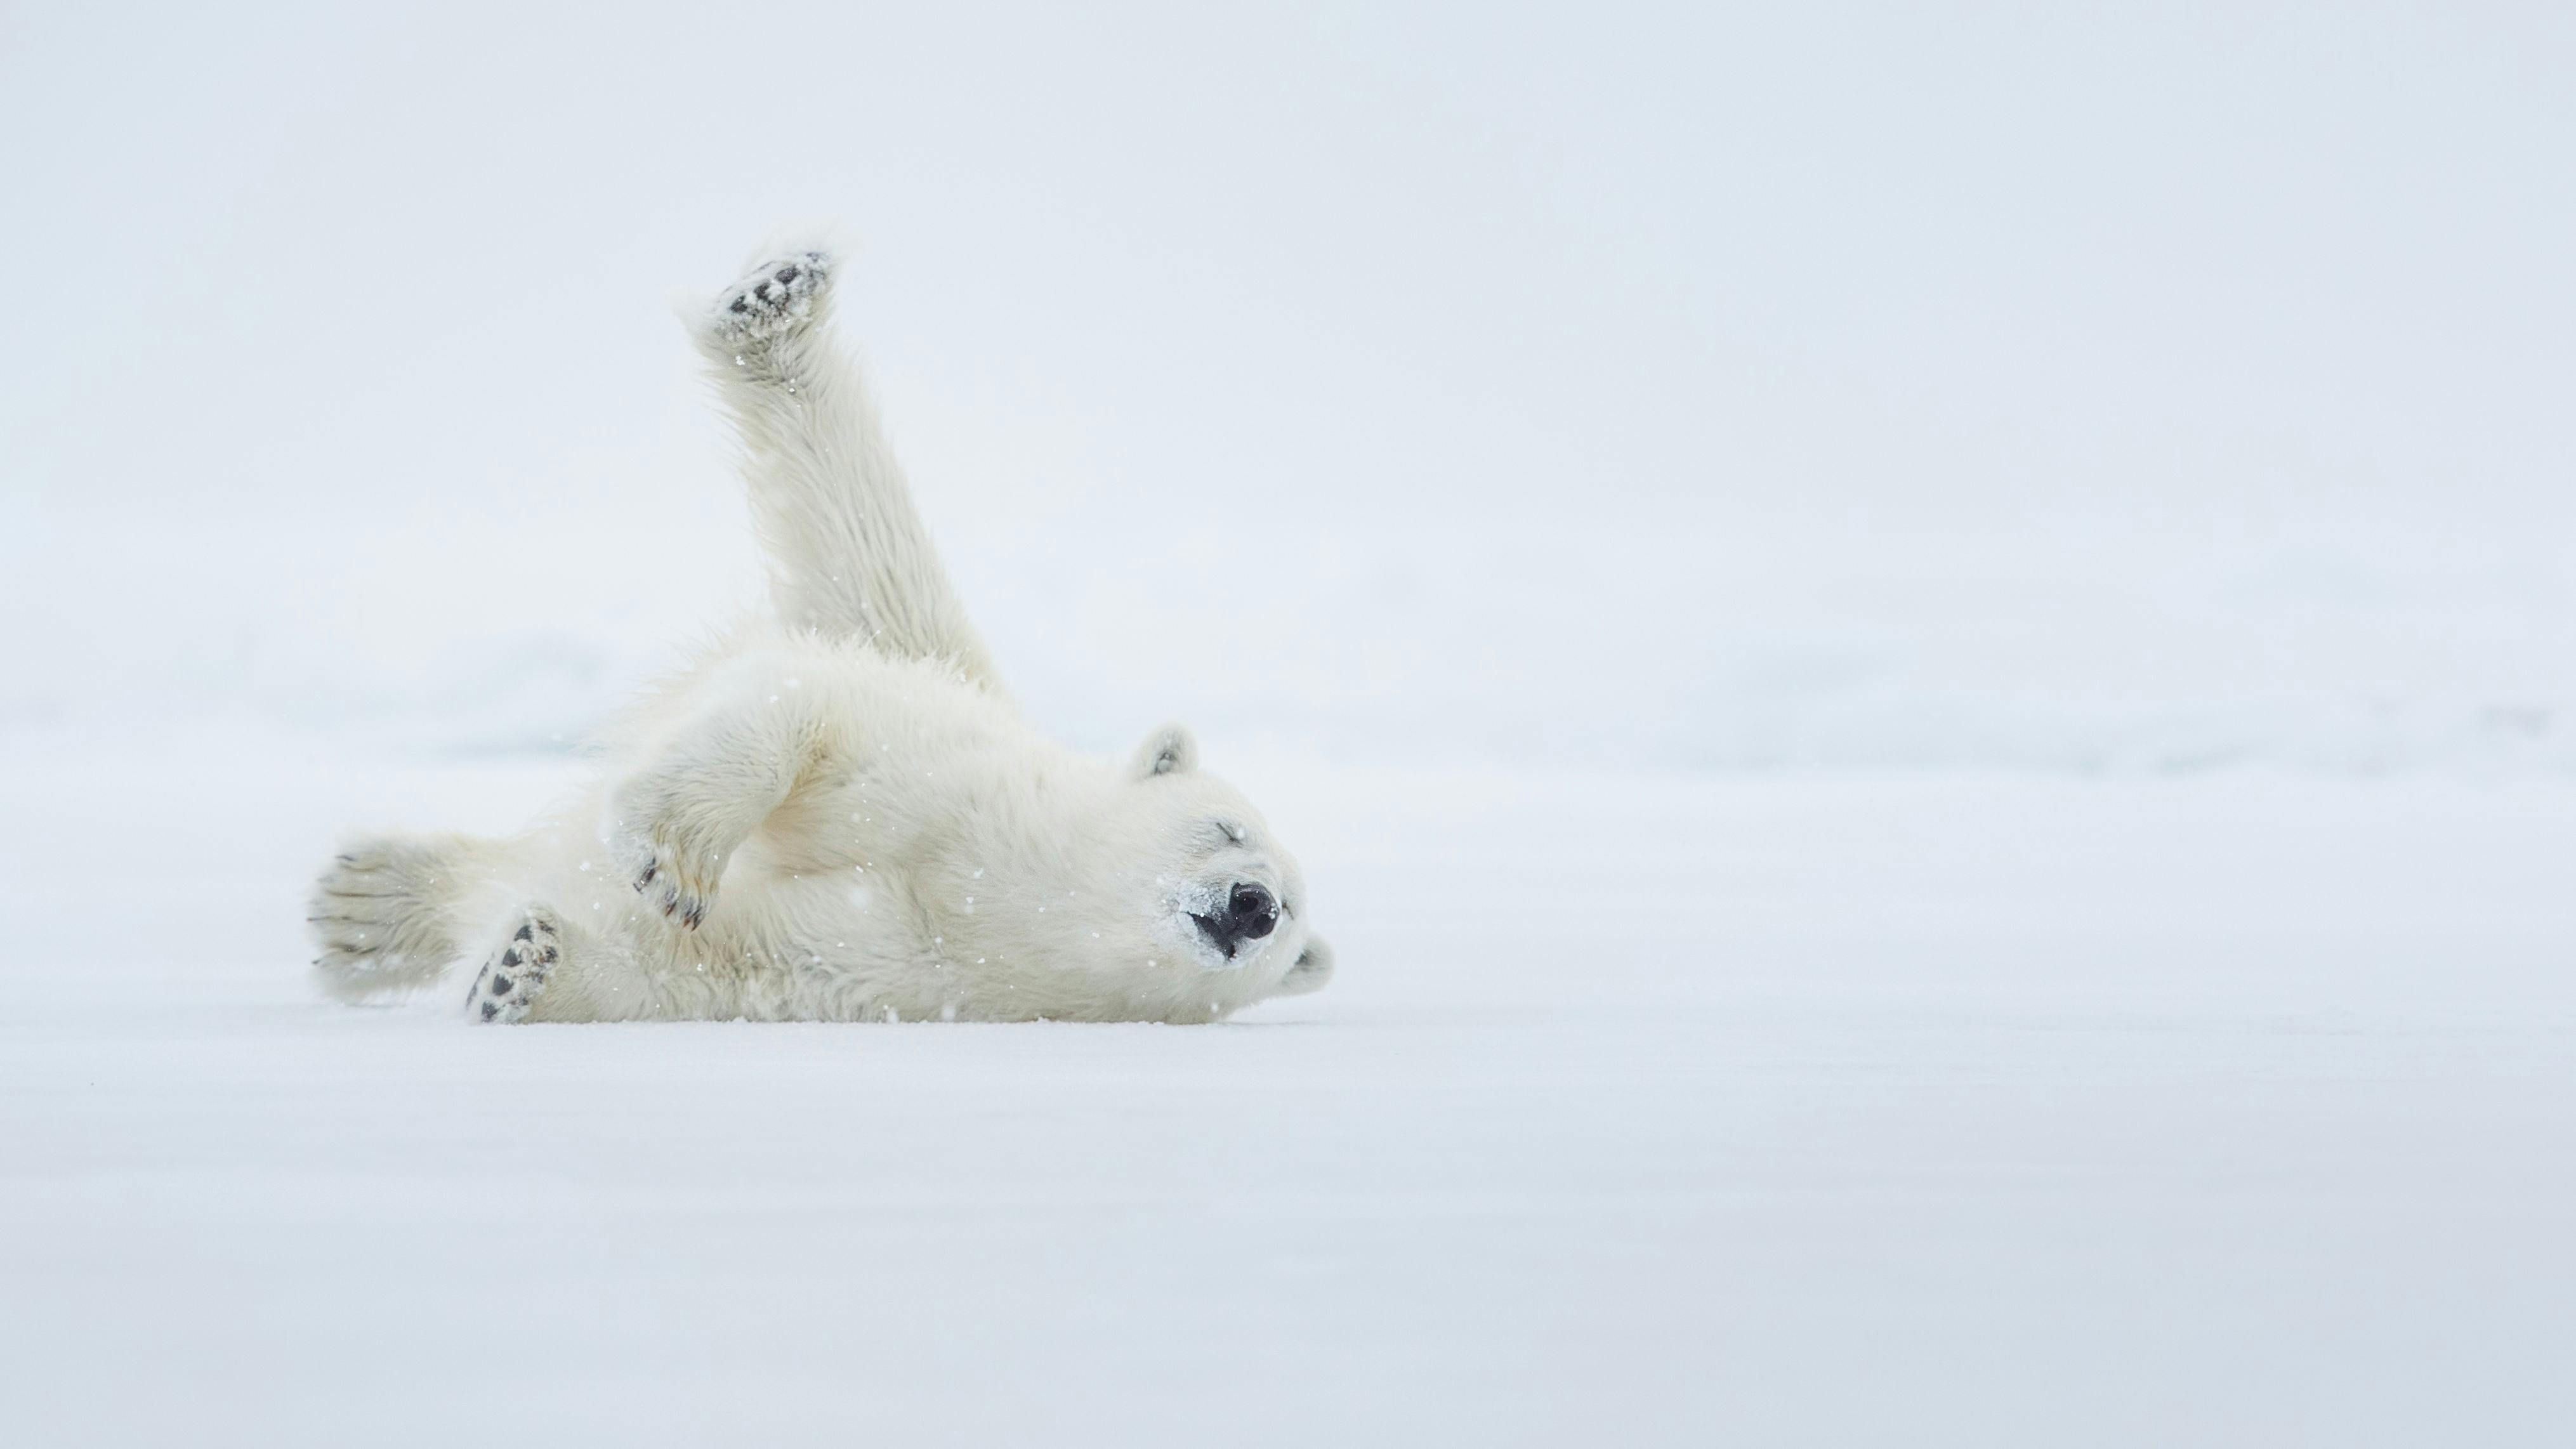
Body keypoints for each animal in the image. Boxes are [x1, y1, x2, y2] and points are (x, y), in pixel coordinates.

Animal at [312, 243, 1339, 1024]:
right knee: (857, 531)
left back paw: (362, 912)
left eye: (1290, 920)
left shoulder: (927, 969)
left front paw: (527, 964)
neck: (1013, 888)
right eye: (1226, 826)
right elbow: (811, 717)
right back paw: (773, 304)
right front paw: (671, 853)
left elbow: (730, 965)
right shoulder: (944, 777)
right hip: (912, 644)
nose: (1252, 903)